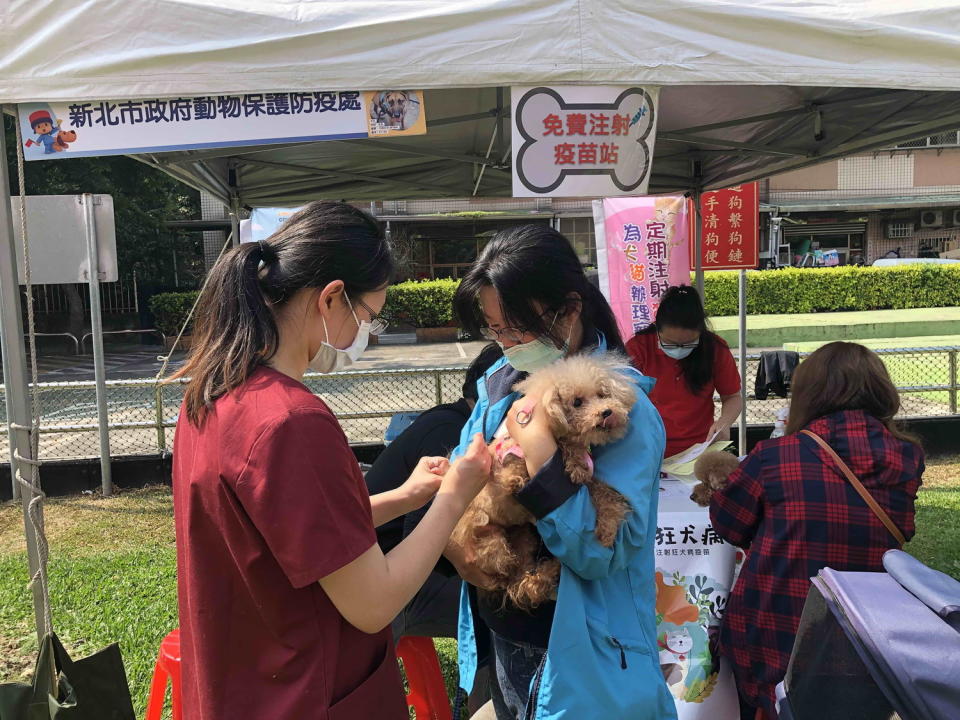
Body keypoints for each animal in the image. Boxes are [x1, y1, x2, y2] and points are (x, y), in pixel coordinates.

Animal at [452, 352, 636, 608]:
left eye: (602, 394)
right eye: (577, 402)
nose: (607, 412)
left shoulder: (589, 483)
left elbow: (607, 498)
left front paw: (607, 530)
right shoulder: (510, 454)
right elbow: (513, 468)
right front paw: (515, 480)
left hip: (523, 538)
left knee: (524, 576)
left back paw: (549, 571)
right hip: (483, 532)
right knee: (499, 559)